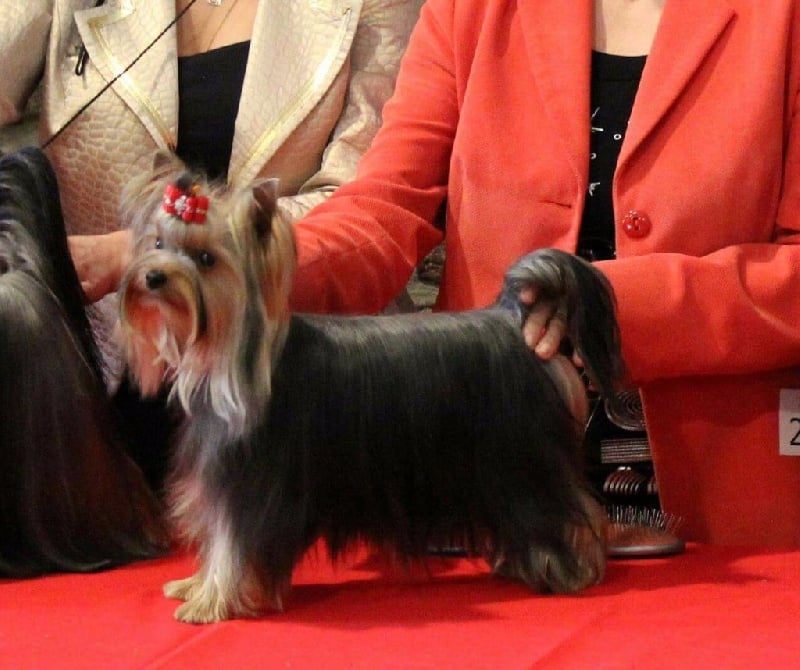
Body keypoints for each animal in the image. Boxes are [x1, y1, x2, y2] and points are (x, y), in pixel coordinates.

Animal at [117, 154, 623, 623]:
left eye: (206, 259)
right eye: (158, 243)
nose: (153, 276)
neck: (228, 353)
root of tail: (512, 317)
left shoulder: (250, 483)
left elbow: (233, 544)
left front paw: (211, 601)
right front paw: (195, 585)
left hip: (521, 460)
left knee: (561, 510)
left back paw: (570, 569)